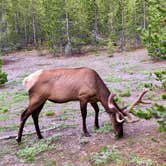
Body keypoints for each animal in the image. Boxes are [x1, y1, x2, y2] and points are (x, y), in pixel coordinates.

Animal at [15, 67, 150, 143]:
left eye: (123, 124)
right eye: (117, 122)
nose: (120, 135)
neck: (97, 87)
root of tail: (26, 80)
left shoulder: (93, 99)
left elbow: (97, 110)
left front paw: (96, 126)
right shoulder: (82, 97)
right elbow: (84, 115)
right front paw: (86, 132)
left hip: (42, 100)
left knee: (34, 115)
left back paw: (40, 136)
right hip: (36, 98)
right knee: (24, 114)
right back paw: (19, 139)